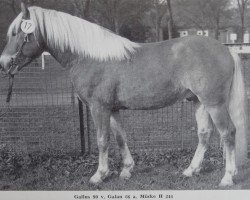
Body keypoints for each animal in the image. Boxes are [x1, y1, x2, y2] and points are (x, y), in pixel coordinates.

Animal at [0, 2, 247, 188]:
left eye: (17, 32)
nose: (4, 63)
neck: (89, 57)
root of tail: (226, 48)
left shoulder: (99, 108)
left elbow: (102, 140)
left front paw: (99, 175)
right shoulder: (113, 109)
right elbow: (120, 138)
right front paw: (126, 171)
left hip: (214, 104)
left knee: (228, 133)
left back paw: (227, 177)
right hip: (199, 102)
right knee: (204, 134)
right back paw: (190, 170)